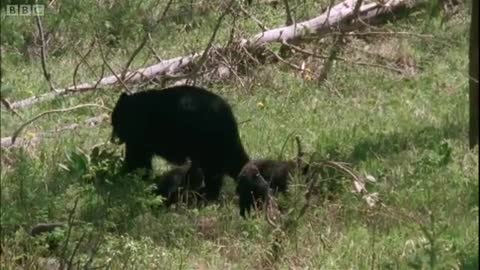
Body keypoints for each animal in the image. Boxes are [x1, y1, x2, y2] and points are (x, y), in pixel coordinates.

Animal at [110, 85, 249, 201]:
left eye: (116, 122)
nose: (113, 139)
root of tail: (227, 114)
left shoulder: (141, 136)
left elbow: (137, 160)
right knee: (233, 162)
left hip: (208, 142)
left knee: (213, 169)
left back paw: (206, 195)